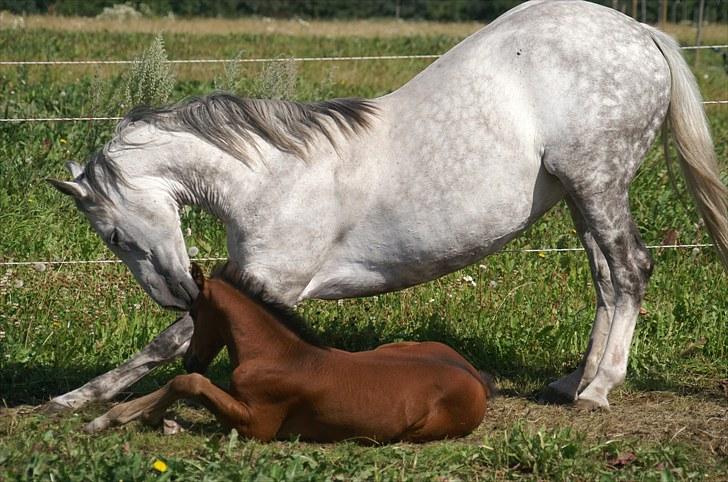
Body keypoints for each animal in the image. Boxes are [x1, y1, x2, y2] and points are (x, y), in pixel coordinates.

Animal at [48, 0, 724, 414]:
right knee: (606, 279)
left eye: (112, 234)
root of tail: (642, 33)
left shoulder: (268, 283)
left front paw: (74, 399)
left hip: (598, 183)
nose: (174, 291)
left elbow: (168, 343)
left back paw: (599, 388)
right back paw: (572, 380)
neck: (271, 178)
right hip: (581, 195)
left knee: (630, 270)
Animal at [86, 262, 494, 442]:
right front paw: (113, 418)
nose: (191, 357)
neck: (278, 355)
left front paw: (140, 417)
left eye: (195, 313)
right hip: (394, 347)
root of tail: (475, 378)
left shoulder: (258, 424)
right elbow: (183, 384)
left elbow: (190, 383)